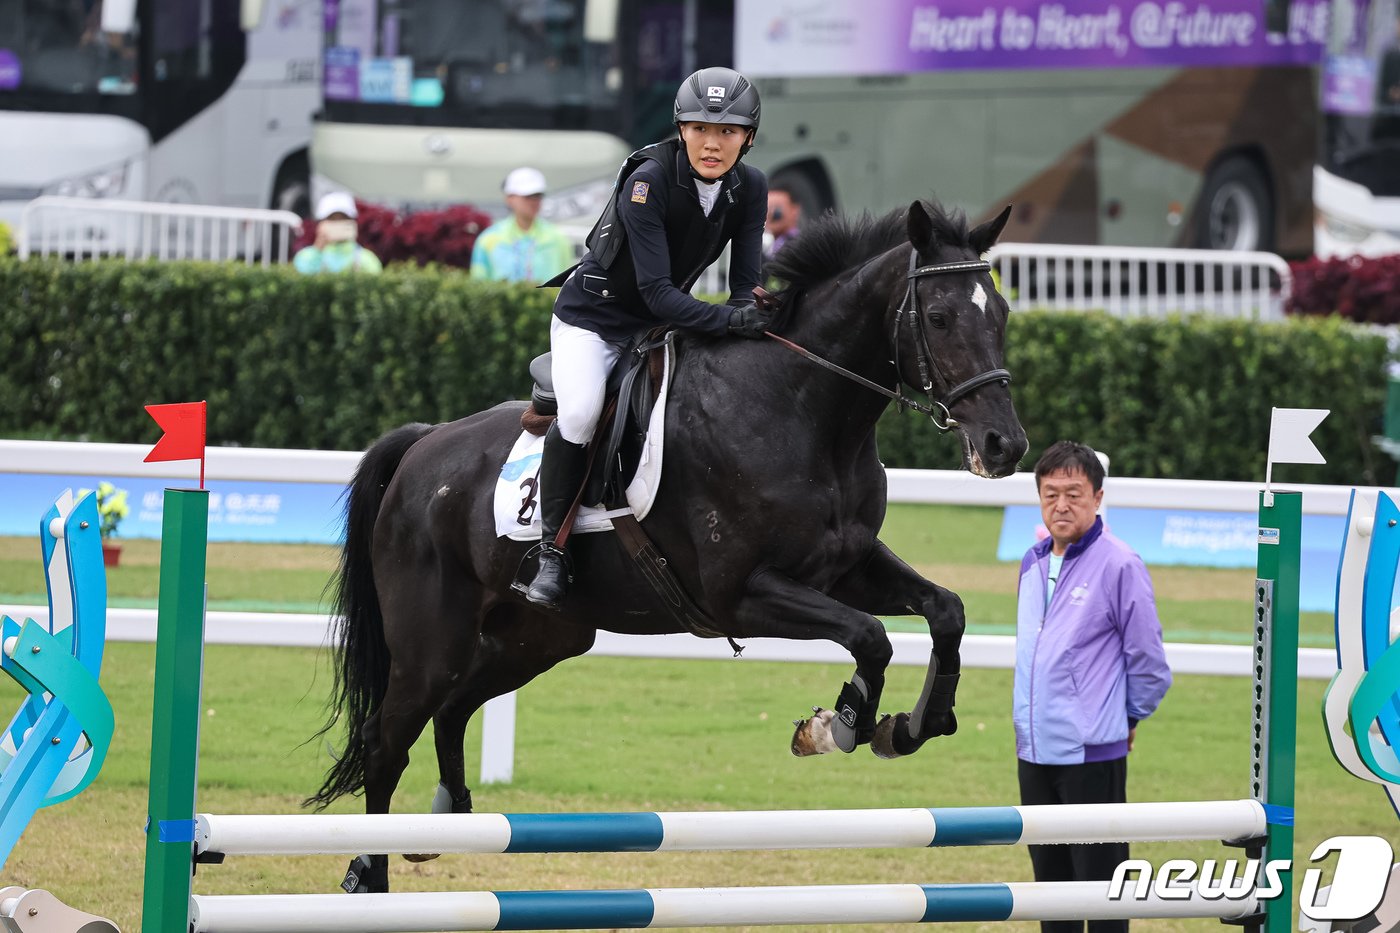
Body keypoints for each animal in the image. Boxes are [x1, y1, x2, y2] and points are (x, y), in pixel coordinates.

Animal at [309, 197, 1030, 885]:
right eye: (938, 316)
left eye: (1001, 314)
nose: (1006, 445)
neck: (802, 407)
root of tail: (422, 446)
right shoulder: (740, 594)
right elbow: (870, 635)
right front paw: (839, 726)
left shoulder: (847, 567)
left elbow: (945, 609)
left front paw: (912, 725)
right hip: (432, 643)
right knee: (385, 739)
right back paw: (369, 873)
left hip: (535, 637)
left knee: (454, 708)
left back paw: (443, 822)